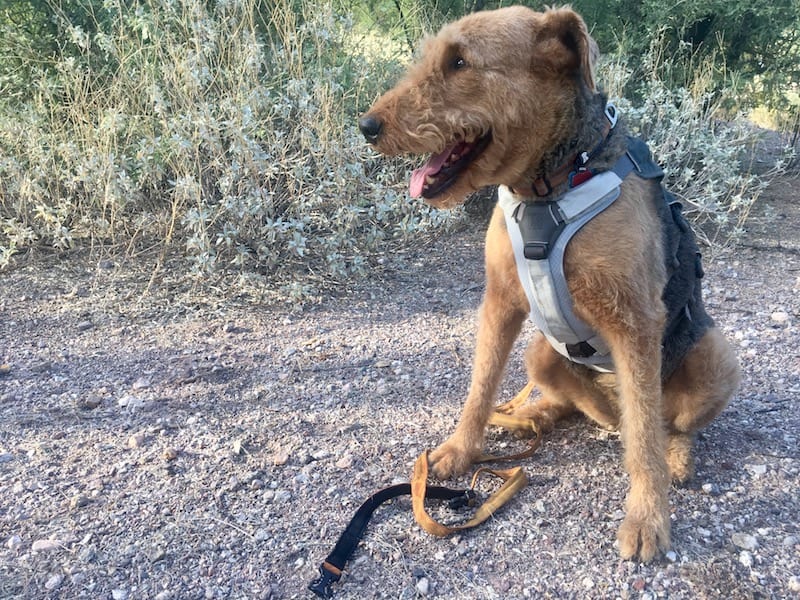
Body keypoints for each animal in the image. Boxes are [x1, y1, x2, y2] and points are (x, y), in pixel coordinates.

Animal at [360, 4, 740, 560]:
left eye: (459, 61)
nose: (367, 126)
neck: (550, 186)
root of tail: (609, 413)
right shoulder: (500, 300)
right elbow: (479, 389)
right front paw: (458, 451)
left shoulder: (634, 322)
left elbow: (644, 439)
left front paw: (648, 519)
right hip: (540, 350)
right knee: (576, 405)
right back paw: (534, 416)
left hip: (717, 356)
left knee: (663, 425)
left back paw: (675, 456)